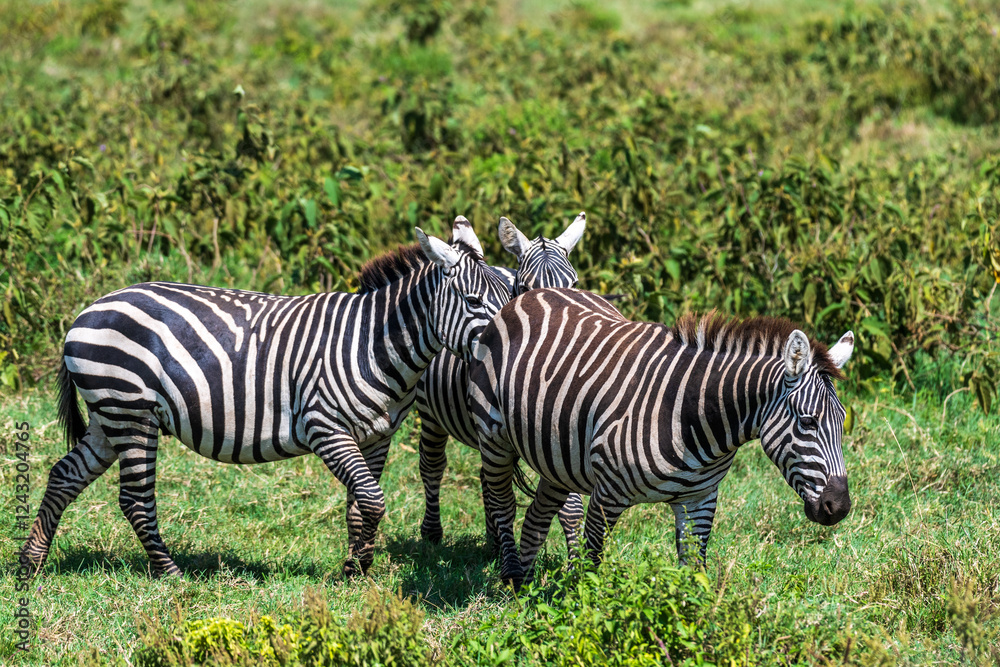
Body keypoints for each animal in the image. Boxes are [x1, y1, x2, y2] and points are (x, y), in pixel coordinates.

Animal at [20, 218, 511, 579]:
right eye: (472, 301)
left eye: (511, 294)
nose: (508, 344)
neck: (373, 343)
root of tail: (87, 311)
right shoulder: (324, 425)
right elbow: (371, 500)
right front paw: (355, 568)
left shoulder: (377, 435)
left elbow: (360, 503)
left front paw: (357, 569)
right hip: (131, 412)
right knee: (135, 499)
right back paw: (169, 573)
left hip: (110, 415)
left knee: (64, 475)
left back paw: (31, 563)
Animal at [415, 213, 588, 552]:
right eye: (526, 287)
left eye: (574, 284)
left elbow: (570, 505)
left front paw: (577, 560)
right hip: (430, 412)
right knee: (432, 465)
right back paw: (432, 532)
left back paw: (493, 543)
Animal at [467, 287, 855, 588]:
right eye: (808, 422)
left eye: (842, 422)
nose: (839, 508)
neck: (692, 415)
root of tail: (532, 294)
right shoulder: (607, 494)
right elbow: (591, 568)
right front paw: (581, 616)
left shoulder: (700, 500)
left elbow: (693, 576)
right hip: (494, 439)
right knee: (502, 504)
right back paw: (511, 578)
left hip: (558, 458)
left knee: (536, 515)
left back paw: (526, 588)